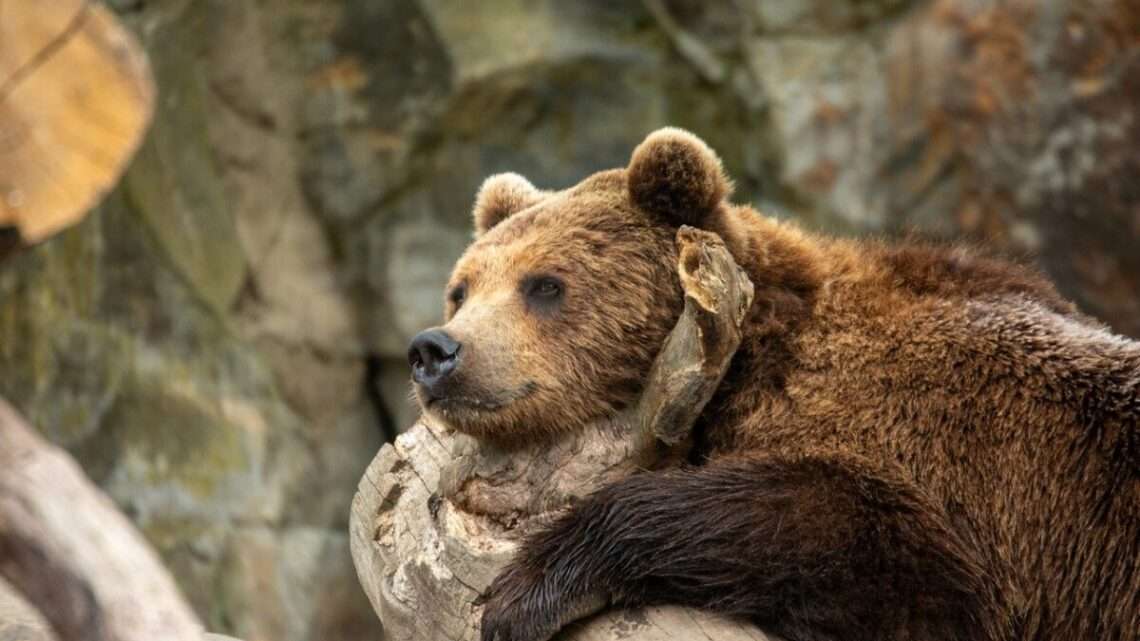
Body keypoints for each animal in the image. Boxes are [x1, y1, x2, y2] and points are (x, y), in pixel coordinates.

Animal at [405, 127, 1135, 638]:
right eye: (461, 288)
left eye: (545, 285)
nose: (435, 350)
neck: (741, 360)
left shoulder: (957, 460)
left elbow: (864, 537)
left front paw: (525, 591)